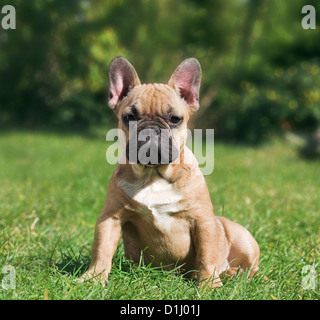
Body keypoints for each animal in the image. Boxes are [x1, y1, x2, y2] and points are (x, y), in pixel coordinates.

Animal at [81, 55, 262, 288]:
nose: (150, 130)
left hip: (244, 240)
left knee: (252, 269)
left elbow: (207, 255)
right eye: (129, 118)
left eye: (175, 119)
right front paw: (93, 278)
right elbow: (101, 250)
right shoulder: (111, 218)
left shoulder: (203, 221)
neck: (153, 175)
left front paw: (209, 285)